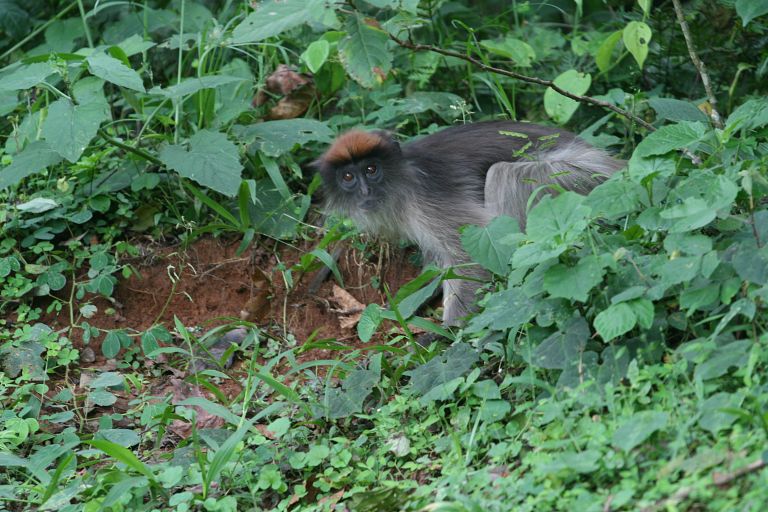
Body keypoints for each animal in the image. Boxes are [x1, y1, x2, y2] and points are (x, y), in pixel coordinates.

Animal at [312, 121, 624, 324]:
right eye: (348, 177)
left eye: (371, 169)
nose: (365, 191)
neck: (402, 178)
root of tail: (614, 166)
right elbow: (439, 267)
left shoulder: (426, 201)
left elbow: (471, 258)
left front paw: (446, 338)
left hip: (578, 178)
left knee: (503, 175)